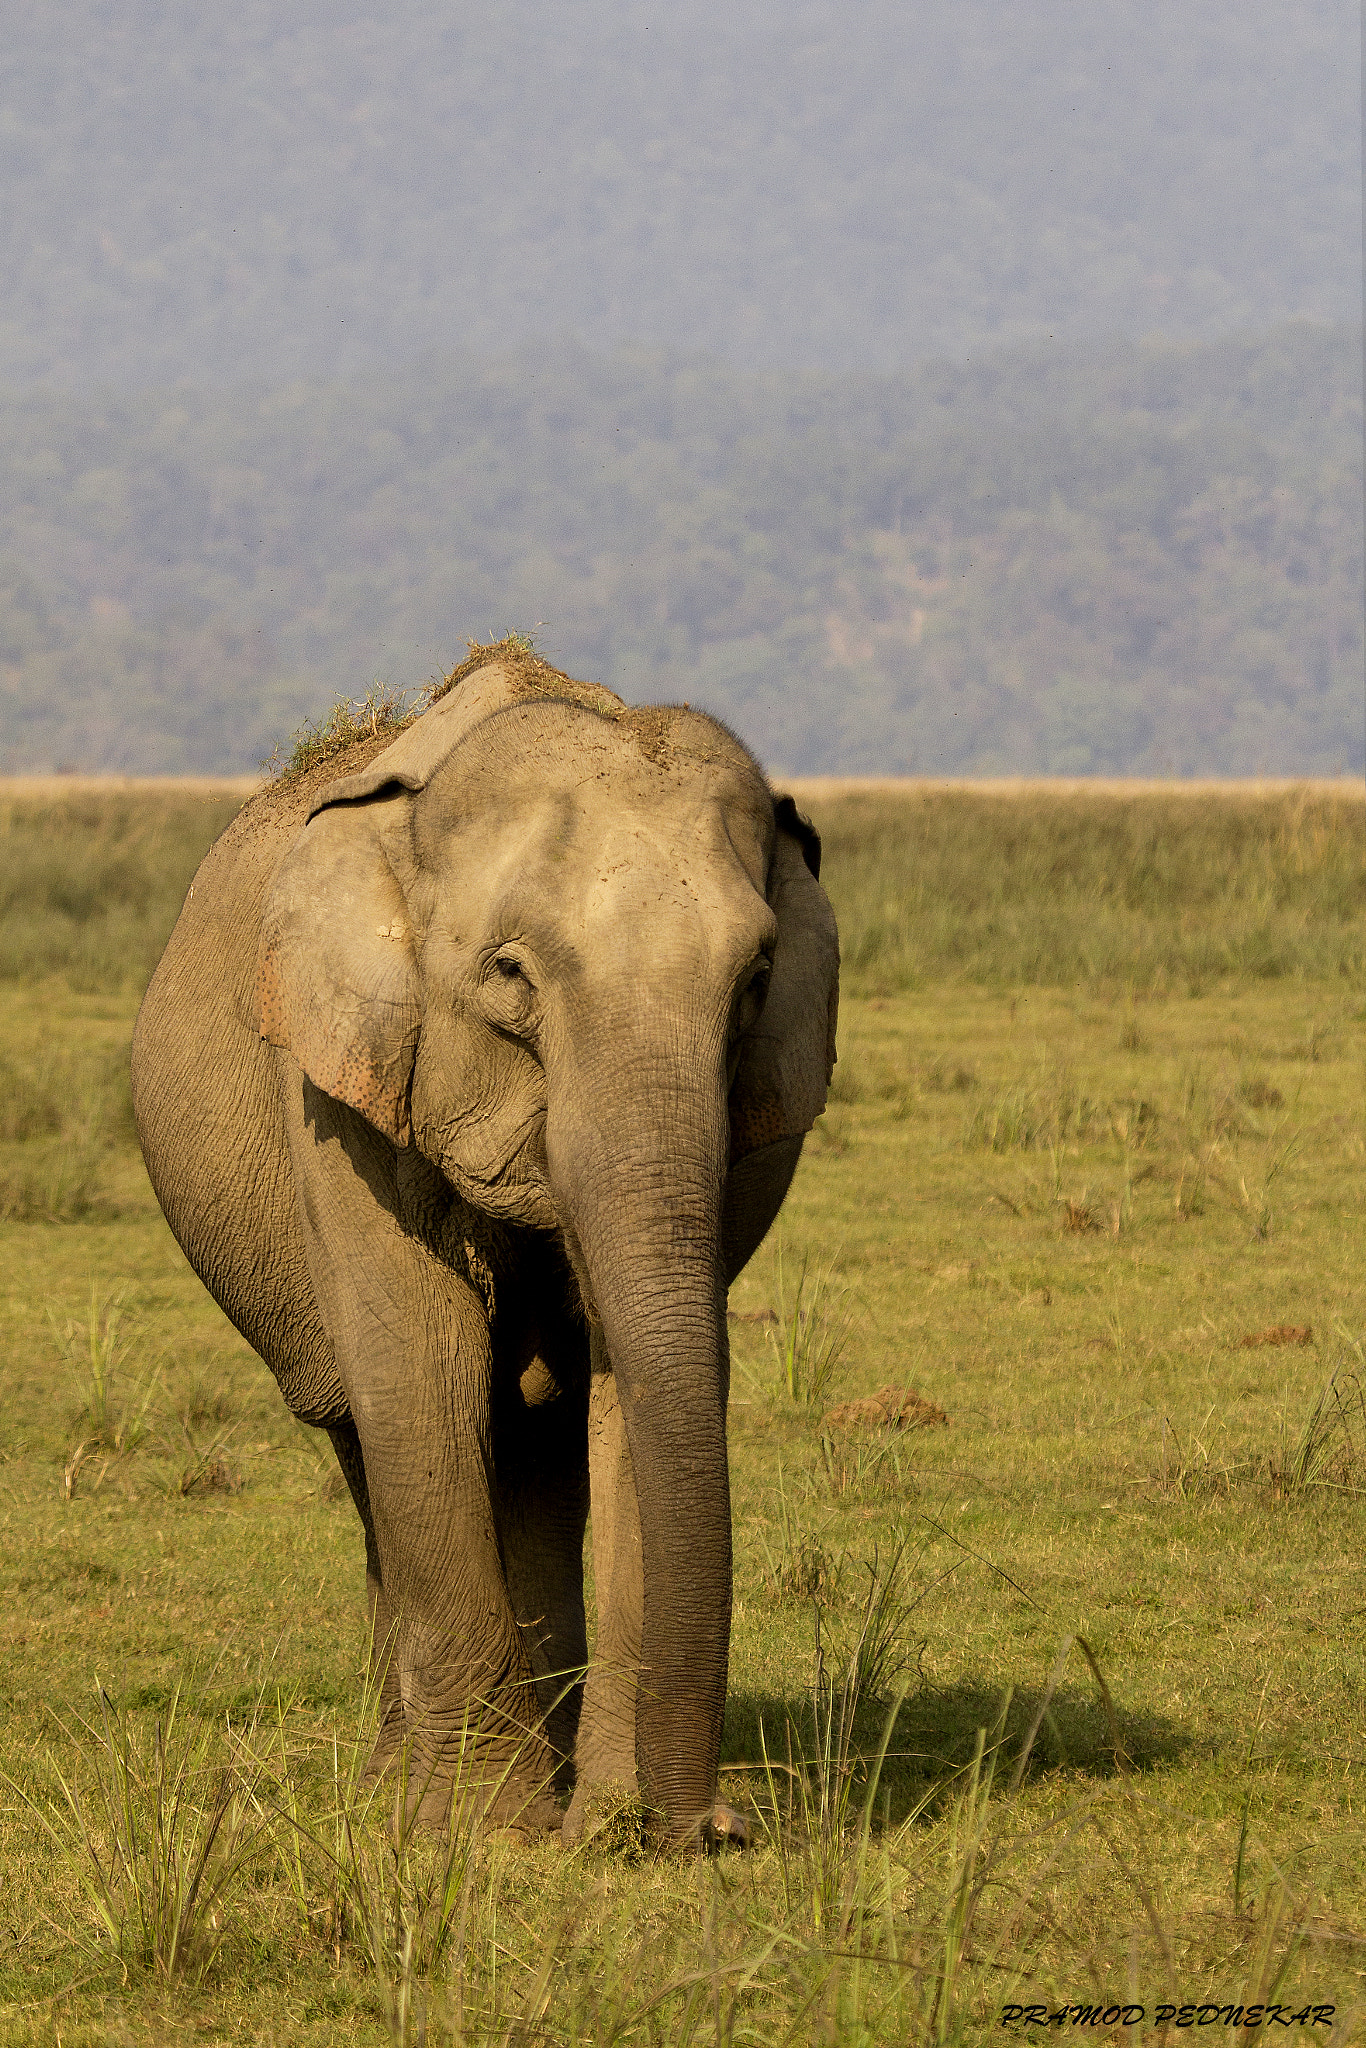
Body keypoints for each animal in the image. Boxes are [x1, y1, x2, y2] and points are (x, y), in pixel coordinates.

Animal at [131, 642, 839, 1853]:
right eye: (510, 972)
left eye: (754, 982)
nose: (720, 1826)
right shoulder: (341, 1089)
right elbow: (425, 1369)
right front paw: (479, 1838)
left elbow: (629, 1383)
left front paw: (603, 1830)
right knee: (371, 1439)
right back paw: (400, 1787)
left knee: (538, 1445)